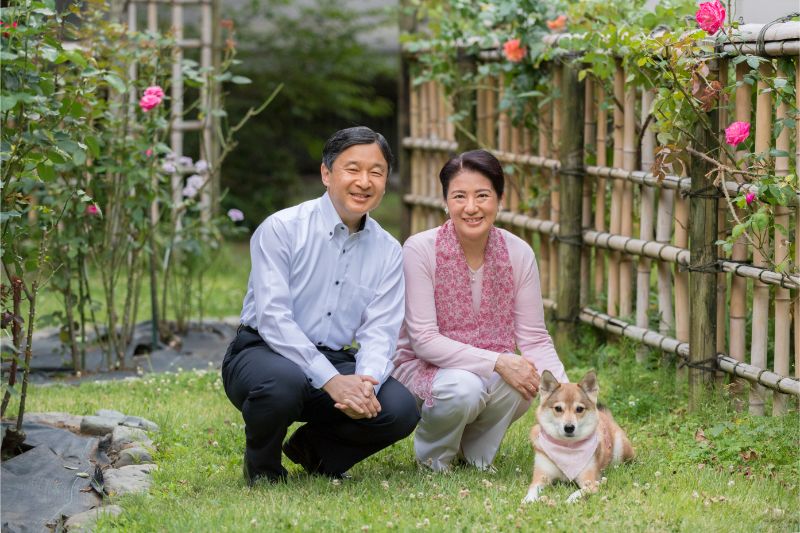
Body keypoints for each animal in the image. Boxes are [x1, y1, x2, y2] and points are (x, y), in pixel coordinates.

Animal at [520, 370, 636, 502]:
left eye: (579, 409)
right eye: (558, 408)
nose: (569, 427)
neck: (567, 448)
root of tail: (605, 416)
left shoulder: (590, 482)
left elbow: (578, 493)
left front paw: (569, 500)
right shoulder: (541, 477)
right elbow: (532, 489)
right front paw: (528, 500)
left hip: (621, 450)